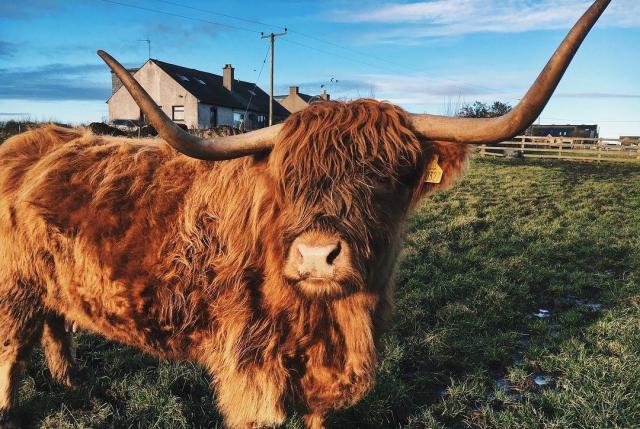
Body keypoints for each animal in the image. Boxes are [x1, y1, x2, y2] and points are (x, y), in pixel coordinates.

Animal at [0, 1, 608, 426]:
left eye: (386, 178)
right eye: (286, 181)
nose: (317, 257)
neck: (329, 319)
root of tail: (32, 140)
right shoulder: (250, 374)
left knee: (54, 325)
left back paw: (73, 384)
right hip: (13, 289)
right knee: (11, 352)